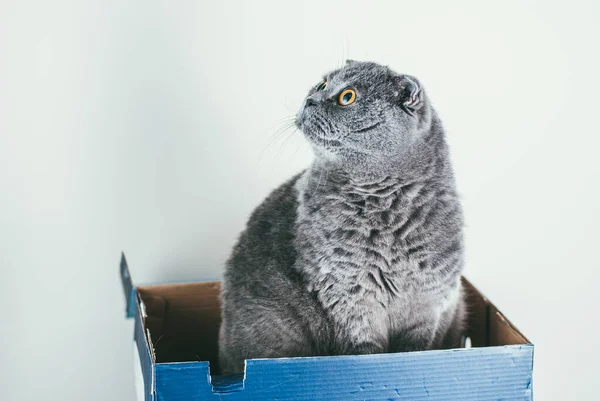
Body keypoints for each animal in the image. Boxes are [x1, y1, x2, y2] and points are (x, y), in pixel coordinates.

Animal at [218, 61, 466, 374]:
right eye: (322, 84)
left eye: (348, 97)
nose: (310, 99)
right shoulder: (350, 299)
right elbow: (364, 352)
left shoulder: (427, 306)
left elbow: (416, 351)